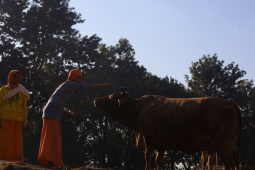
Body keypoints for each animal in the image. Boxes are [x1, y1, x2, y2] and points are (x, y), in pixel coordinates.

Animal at [94, 88, 241, 169]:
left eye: (112, 96)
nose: (96, 99)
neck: (140, 108)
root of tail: (229, 102)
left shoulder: (148, 140)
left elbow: (148, 159)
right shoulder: (161, 144)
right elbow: (159, 161)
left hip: (224, 145)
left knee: (229, 161)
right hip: (229, 145)